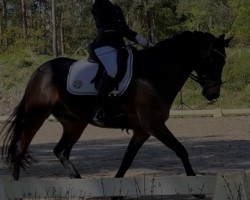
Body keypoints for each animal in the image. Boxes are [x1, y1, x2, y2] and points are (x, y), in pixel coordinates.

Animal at [0, 30, 230, 180]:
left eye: (224, 62)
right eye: (211, 59)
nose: (213, 93)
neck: (154, 73)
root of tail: (40, 70)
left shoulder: (142, 130)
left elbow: (126, 161)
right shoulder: (154, 125)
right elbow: (181, 150)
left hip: (75, 123)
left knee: (61, 151)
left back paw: (78, 180)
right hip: (37, 114)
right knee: (20, 147)